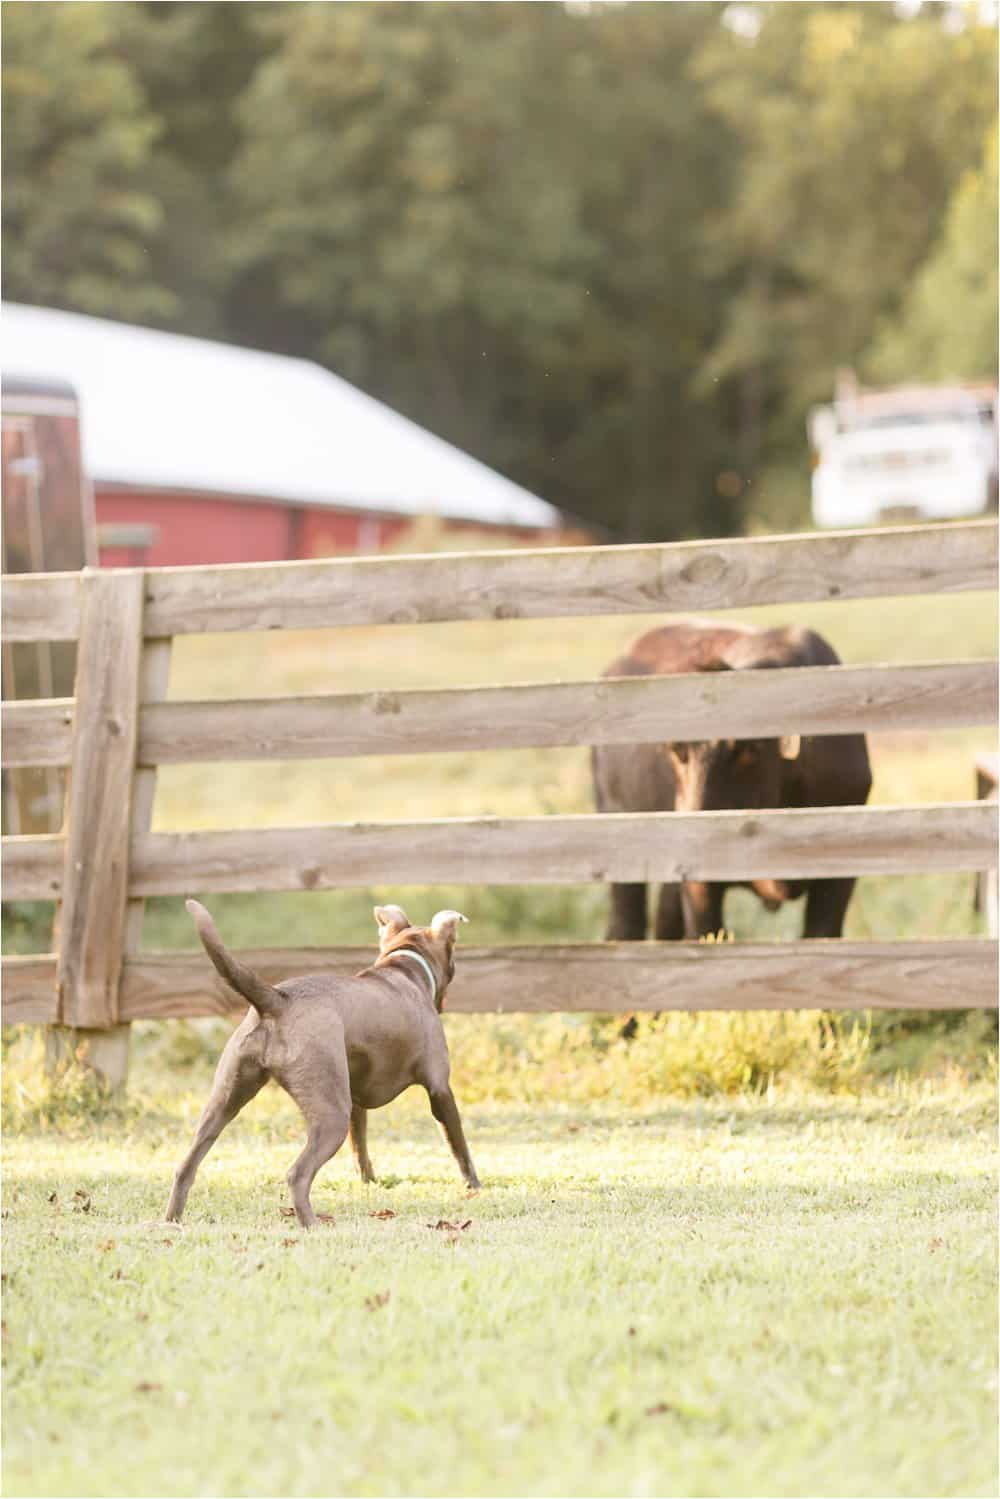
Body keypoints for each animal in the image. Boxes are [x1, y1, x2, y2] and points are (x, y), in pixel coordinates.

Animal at [164, 893, 479, 1223]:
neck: (404, 965)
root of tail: (276, 1000)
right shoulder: (440, 1089)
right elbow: (459, 1145)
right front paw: (474, 1185)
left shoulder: (355, 1100)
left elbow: (360, 1147)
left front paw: (368, 1181)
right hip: (330, 1113)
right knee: (297, 1174)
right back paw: (312, 1224)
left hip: (226, 1098)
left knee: (185, 1167)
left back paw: (172, 1221)